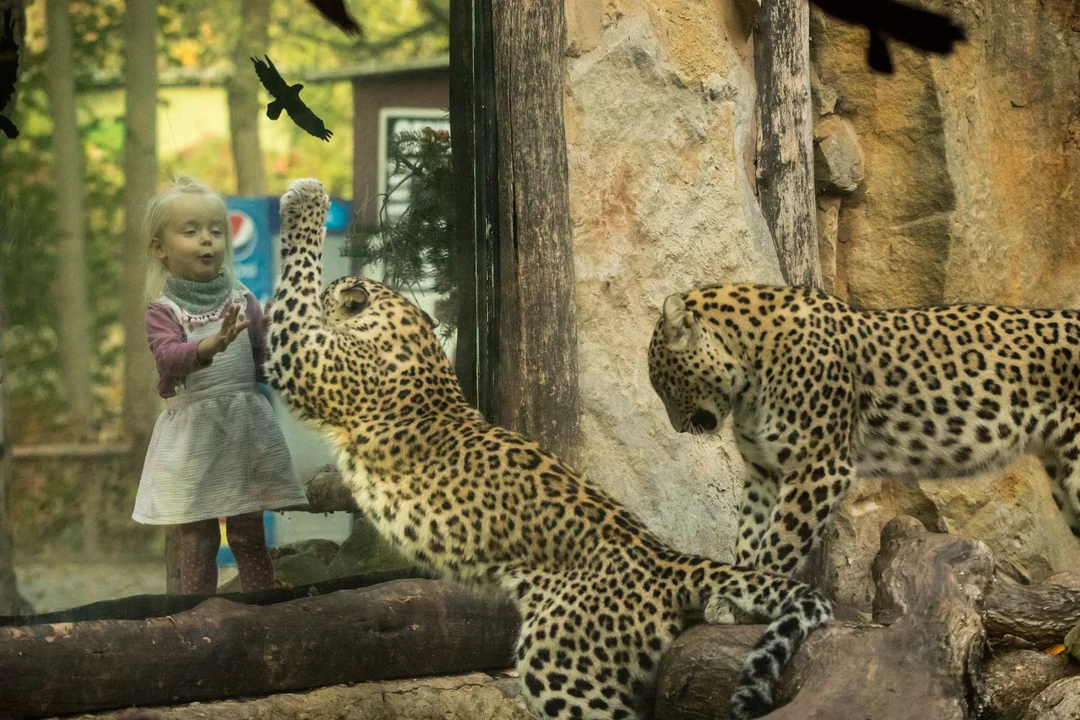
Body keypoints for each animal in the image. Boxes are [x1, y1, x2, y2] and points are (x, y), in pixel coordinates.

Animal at [263, 180, 833, 720]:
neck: (410, 330)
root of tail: (666, 559)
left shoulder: (304, 357)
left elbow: (294, 288)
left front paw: (305, 202)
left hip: (559, 660)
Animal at [648, 284, 1080, 578]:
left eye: (663, 384)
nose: (677, 428)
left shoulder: (818, 465)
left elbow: (780, 538)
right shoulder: (765, 469)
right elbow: (752, 531)